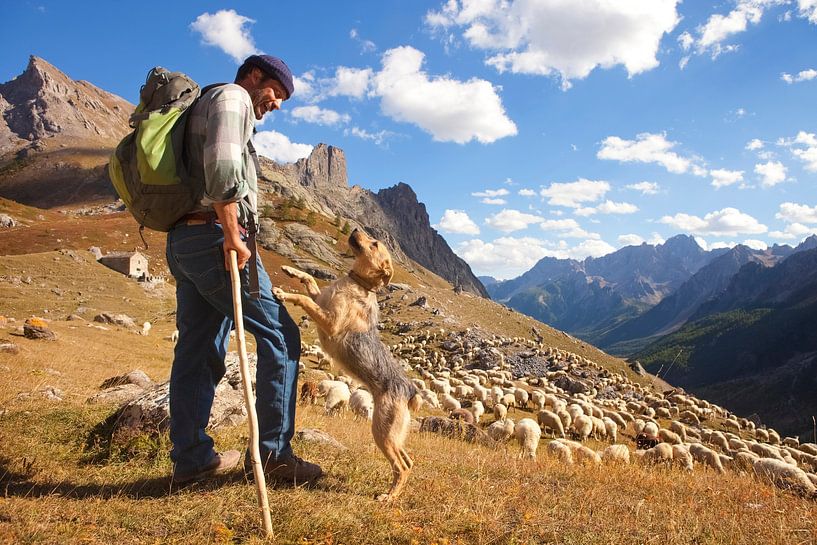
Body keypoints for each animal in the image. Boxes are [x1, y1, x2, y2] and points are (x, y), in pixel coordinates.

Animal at [272, 227, 418, 500]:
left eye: (374, 243)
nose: (356, 228)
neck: (357, 283)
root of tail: (409, 389)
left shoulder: (329, 321)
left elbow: (304, 300)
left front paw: (284, 293)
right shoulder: (321, 299)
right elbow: (310, 281)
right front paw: (291, 271)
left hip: (382, 431)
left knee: (401, 466)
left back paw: (388, 497)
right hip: (395, 434)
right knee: (408, 461)